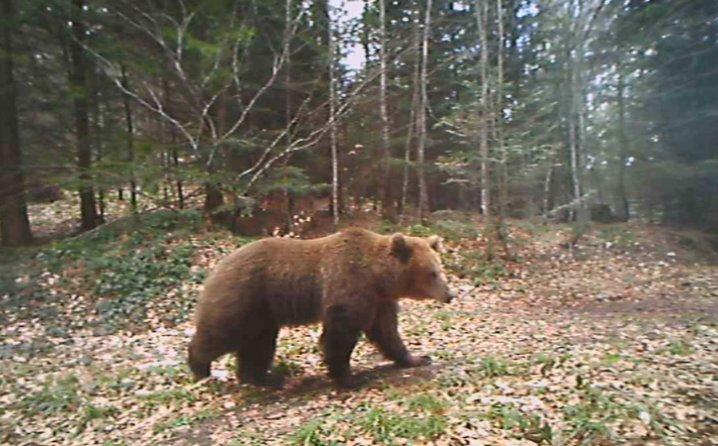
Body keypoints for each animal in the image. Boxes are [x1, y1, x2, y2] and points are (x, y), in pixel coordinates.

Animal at [187, 226, 456, 386]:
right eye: (432, 273)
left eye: (440, 268)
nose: (450, 294)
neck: (378, 277)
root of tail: (216, 267)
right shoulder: (349, 286)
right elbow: (341, 332)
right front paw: (346, 376)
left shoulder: (379, 300)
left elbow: (386, 332)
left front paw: (417, 357)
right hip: (244, 298)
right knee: (222, 333)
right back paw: (201, 369)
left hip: (262, 313)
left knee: (258, 343)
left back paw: (261, 377)